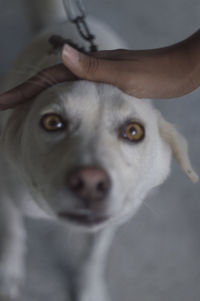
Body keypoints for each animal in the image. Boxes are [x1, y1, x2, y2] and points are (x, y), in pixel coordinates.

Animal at [0, 0, 198, 300]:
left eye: (133, 131)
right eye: (52, 122)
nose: (90, 183)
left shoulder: (111, 222)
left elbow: (93, 257)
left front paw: (90, 288)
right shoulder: (7, 192)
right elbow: (12, 232)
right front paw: (8, 274)